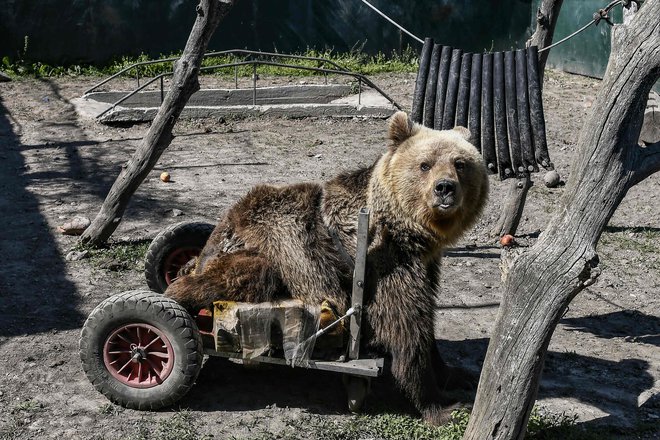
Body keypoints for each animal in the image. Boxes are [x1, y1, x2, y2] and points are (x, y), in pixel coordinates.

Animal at [162, 111, 488, 424]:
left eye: (460, 163)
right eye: (425, 164)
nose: (444, 188)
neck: (409, 230)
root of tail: (216, 236)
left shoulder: (425, 264)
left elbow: (425, 321)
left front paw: (457, 374)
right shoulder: (385, 262)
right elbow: (405, 327)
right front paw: (442, 406)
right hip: (266, 249)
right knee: (234, 278)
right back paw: (176, 296)